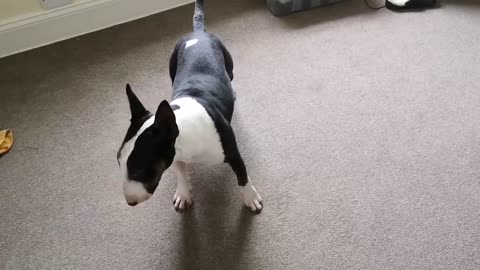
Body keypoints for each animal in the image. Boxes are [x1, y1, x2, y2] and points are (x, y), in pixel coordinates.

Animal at [116, 1, 262, 214]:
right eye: (118, 161)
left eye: (140, 170)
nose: (130, 202)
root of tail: (198, 33)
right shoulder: (175, 154)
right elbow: (180, 171)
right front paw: (183, 194)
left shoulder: (233, 154)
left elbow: (242, 175)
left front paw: (251, 198)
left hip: (229, 65)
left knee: (231, 76)